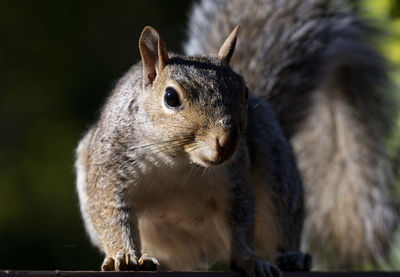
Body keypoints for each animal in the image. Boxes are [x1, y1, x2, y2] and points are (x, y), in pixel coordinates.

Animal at [76, 22, 312, 274]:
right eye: (170, 97)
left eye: (245, 92)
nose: (227, 141)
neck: (178, 159)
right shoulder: (111, 167)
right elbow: (111, 213)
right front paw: (124, 256)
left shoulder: (234, 178)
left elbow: (240, 218)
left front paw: (249, 259)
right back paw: (148, 258)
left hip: (276, 166)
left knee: (281, 221)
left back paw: (292, 257)